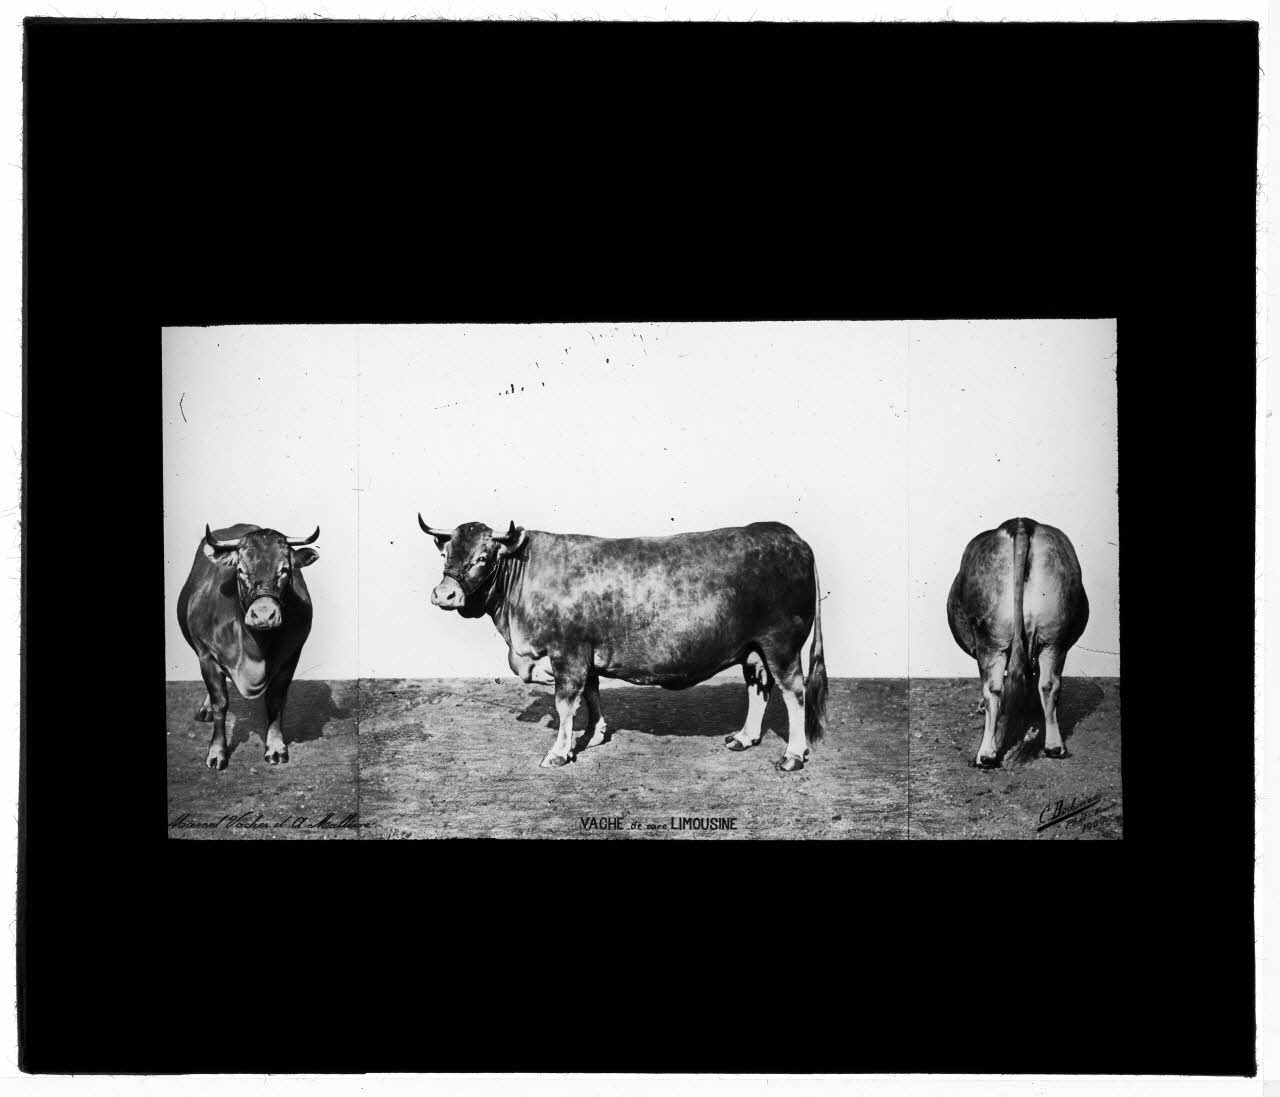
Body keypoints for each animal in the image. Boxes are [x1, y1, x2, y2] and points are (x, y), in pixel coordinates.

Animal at [176, 523, 320, 770]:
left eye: (284, 569)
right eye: (241, 570)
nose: (263, 614)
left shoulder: (291, 657)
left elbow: (275, 701)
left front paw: (275, 747)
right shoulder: (206, 655)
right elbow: (220, 702)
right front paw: (217, 752)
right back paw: (205, 709)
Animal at [417, 517, 828, 771]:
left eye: (482, 557)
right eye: (445, 554)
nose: (443, 594)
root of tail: (791, 536)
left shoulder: (568, 652)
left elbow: (565, 702)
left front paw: (559, 752)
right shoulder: (585, 652)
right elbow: (592, 692)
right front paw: (593, 734)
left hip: (781, 644)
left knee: (794, 692)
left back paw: (793, 755)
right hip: (752, 648)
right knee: (759, 687)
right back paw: (744, 738)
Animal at [946, 516, 1089, 768]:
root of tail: (1021, 523)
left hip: (990, 640)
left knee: (993, 688)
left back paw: (986, 754)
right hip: (1054, 636)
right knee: (1048, 683)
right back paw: (1054, 746)